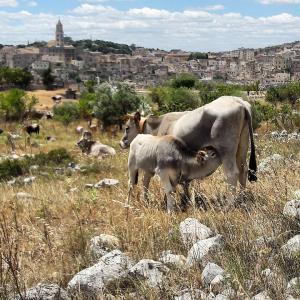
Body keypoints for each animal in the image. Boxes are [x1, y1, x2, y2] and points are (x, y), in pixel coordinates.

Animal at [120, 97, 256, 207]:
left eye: (127, 128)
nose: (121, 143)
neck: (157, 126)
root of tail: (238, 101)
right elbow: (184, 183)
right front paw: (186, 199)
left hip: (226, 151)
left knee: (232, 174)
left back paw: (229, 205)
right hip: (242, 147)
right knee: (243, 170)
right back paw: (242, 198)